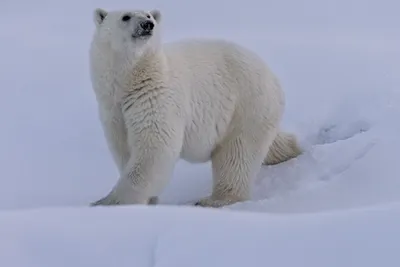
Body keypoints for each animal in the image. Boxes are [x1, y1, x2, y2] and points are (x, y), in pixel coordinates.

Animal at [87, 7, 300, 208]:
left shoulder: (155, 97)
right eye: (126, 16)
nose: (148, 25)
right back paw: (292, 148)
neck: (130, 80)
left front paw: (107, 202)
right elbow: (124, 148)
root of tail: (273, 77)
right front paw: (148, 199)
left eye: (149, 15)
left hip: (246, 104)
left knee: (237, 154)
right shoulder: (112, 109)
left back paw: (215, 200)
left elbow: (154, 147)